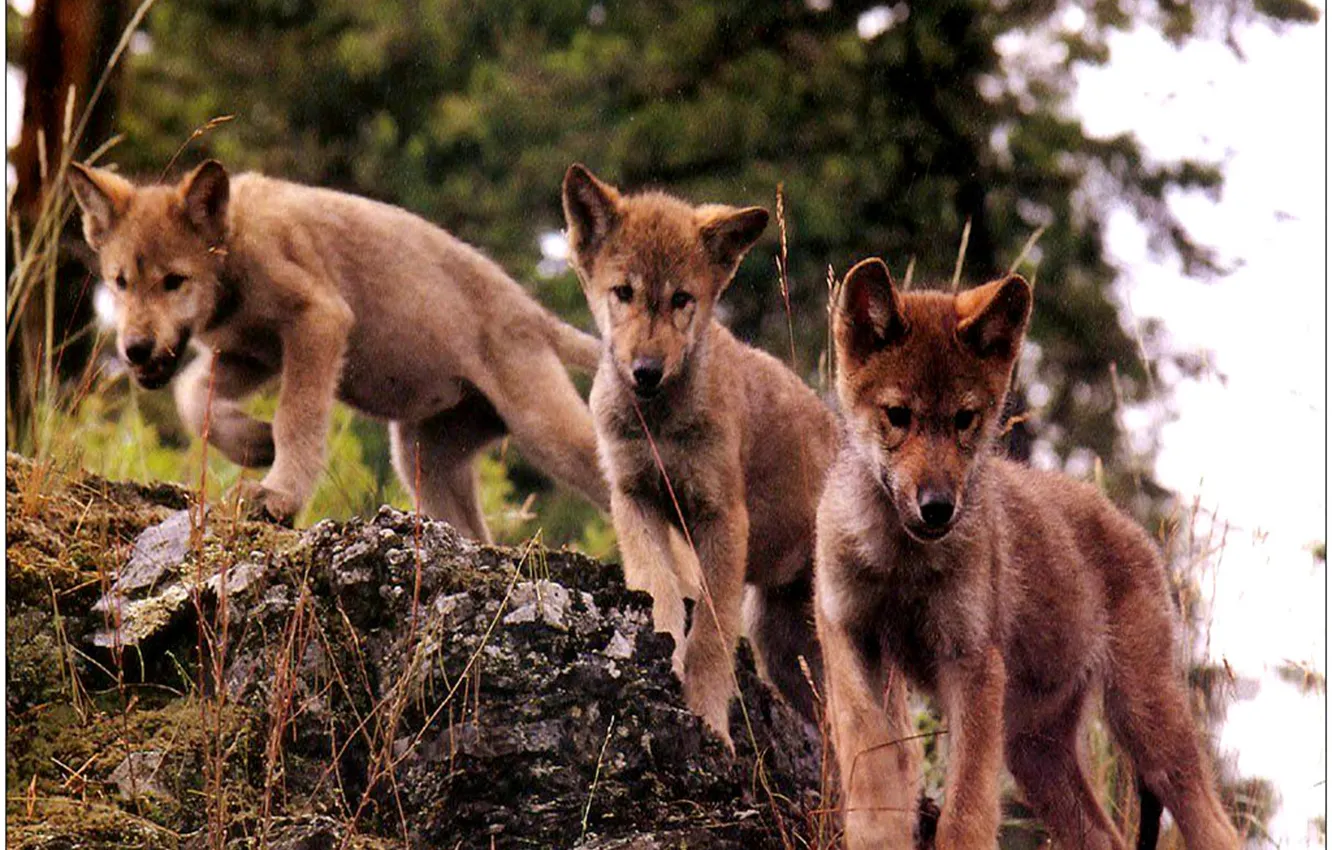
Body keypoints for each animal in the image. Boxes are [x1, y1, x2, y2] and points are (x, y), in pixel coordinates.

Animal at [67, 160, 608, 537]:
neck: (236, 242)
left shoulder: (318, 320)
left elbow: (297, 415)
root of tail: (534, 315)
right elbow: (193, 398)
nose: (135, 349)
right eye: (120, 282)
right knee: (477, 534)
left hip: (545, 430)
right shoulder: (251, 353)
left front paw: (278, 494)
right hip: (423, 457)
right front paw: (255, 444)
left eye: (174, 281)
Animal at [561, 164, 837, 747]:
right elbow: (658, 585)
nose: (646, 370)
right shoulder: (634, 497)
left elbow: (711, 633)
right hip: (786, 652)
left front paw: (710, 723)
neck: (659, 421)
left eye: (682, 299)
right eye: (623, 292)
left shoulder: (723, 518)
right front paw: (664, 650)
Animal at [815, 257, 1239, 850]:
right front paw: (877, 832)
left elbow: (966, 811)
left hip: (1145, 722)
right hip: (1033, 750)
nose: (937, 508)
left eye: (965, 419)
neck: (900, 560)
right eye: (898, 415)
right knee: (1104, 836)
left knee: (1214, 822)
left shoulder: (971, 662)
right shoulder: (847, 633)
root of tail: (1131, 528)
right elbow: (871, 758)